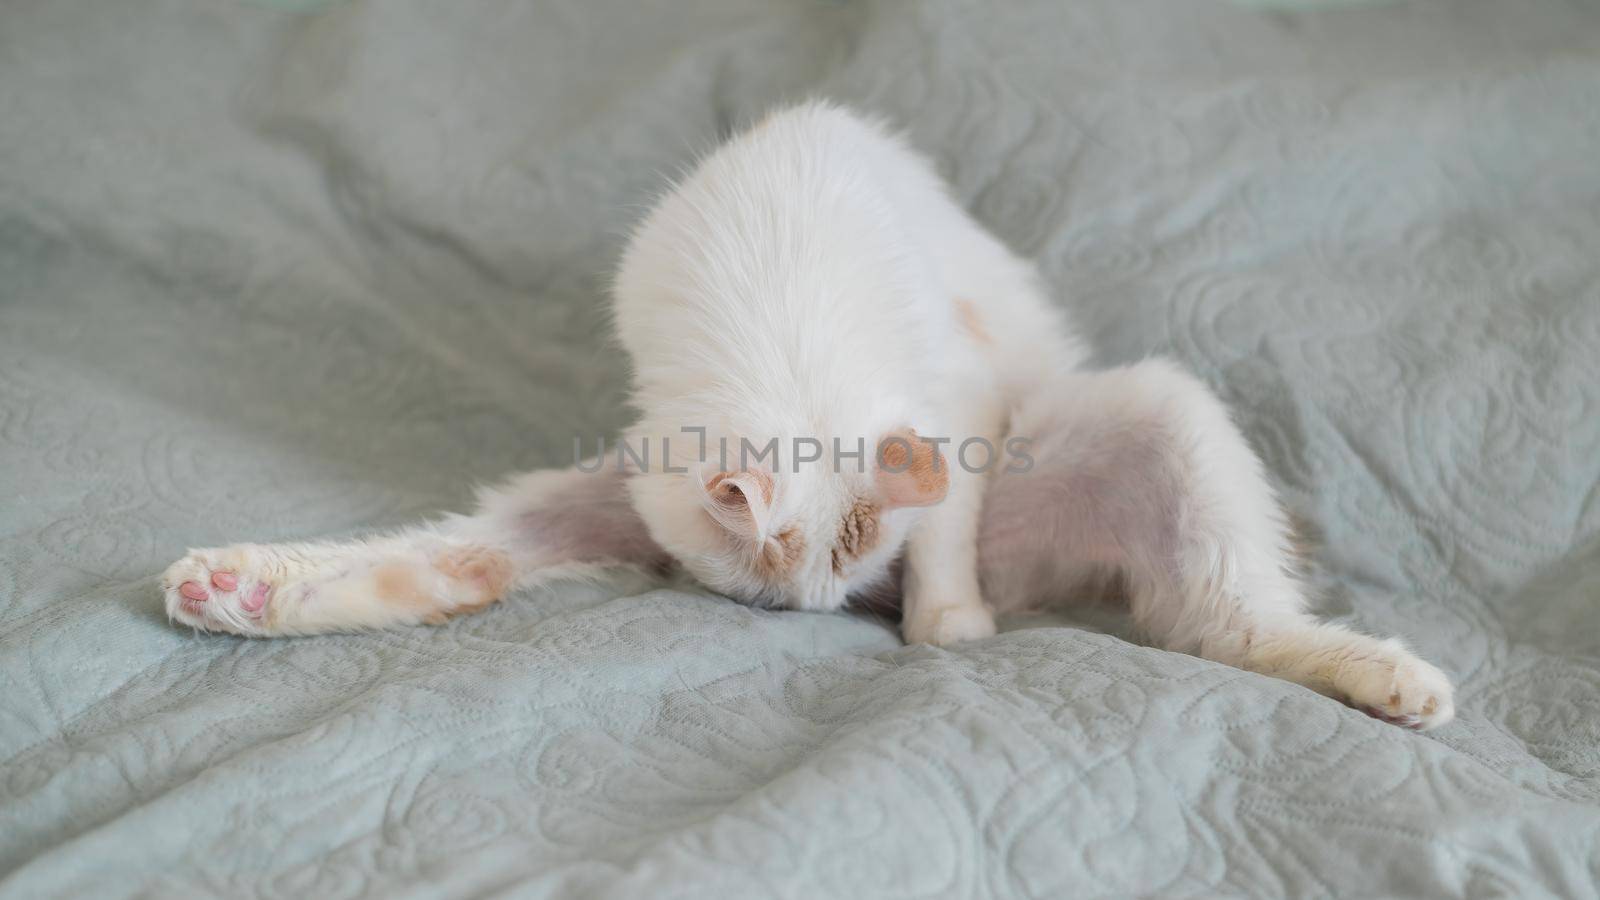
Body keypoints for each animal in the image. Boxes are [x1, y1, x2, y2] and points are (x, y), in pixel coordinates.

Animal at [159, 99, 1452, 730]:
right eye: (774, 597)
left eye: (850, 574)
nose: (839, 615)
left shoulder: (953, 399)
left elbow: (943, 521)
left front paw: (946, 626)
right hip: (573, 502)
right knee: (454, 564)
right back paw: (231, 588)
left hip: (1154, 417)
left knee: (1220, 626)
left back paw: (1390, 683)